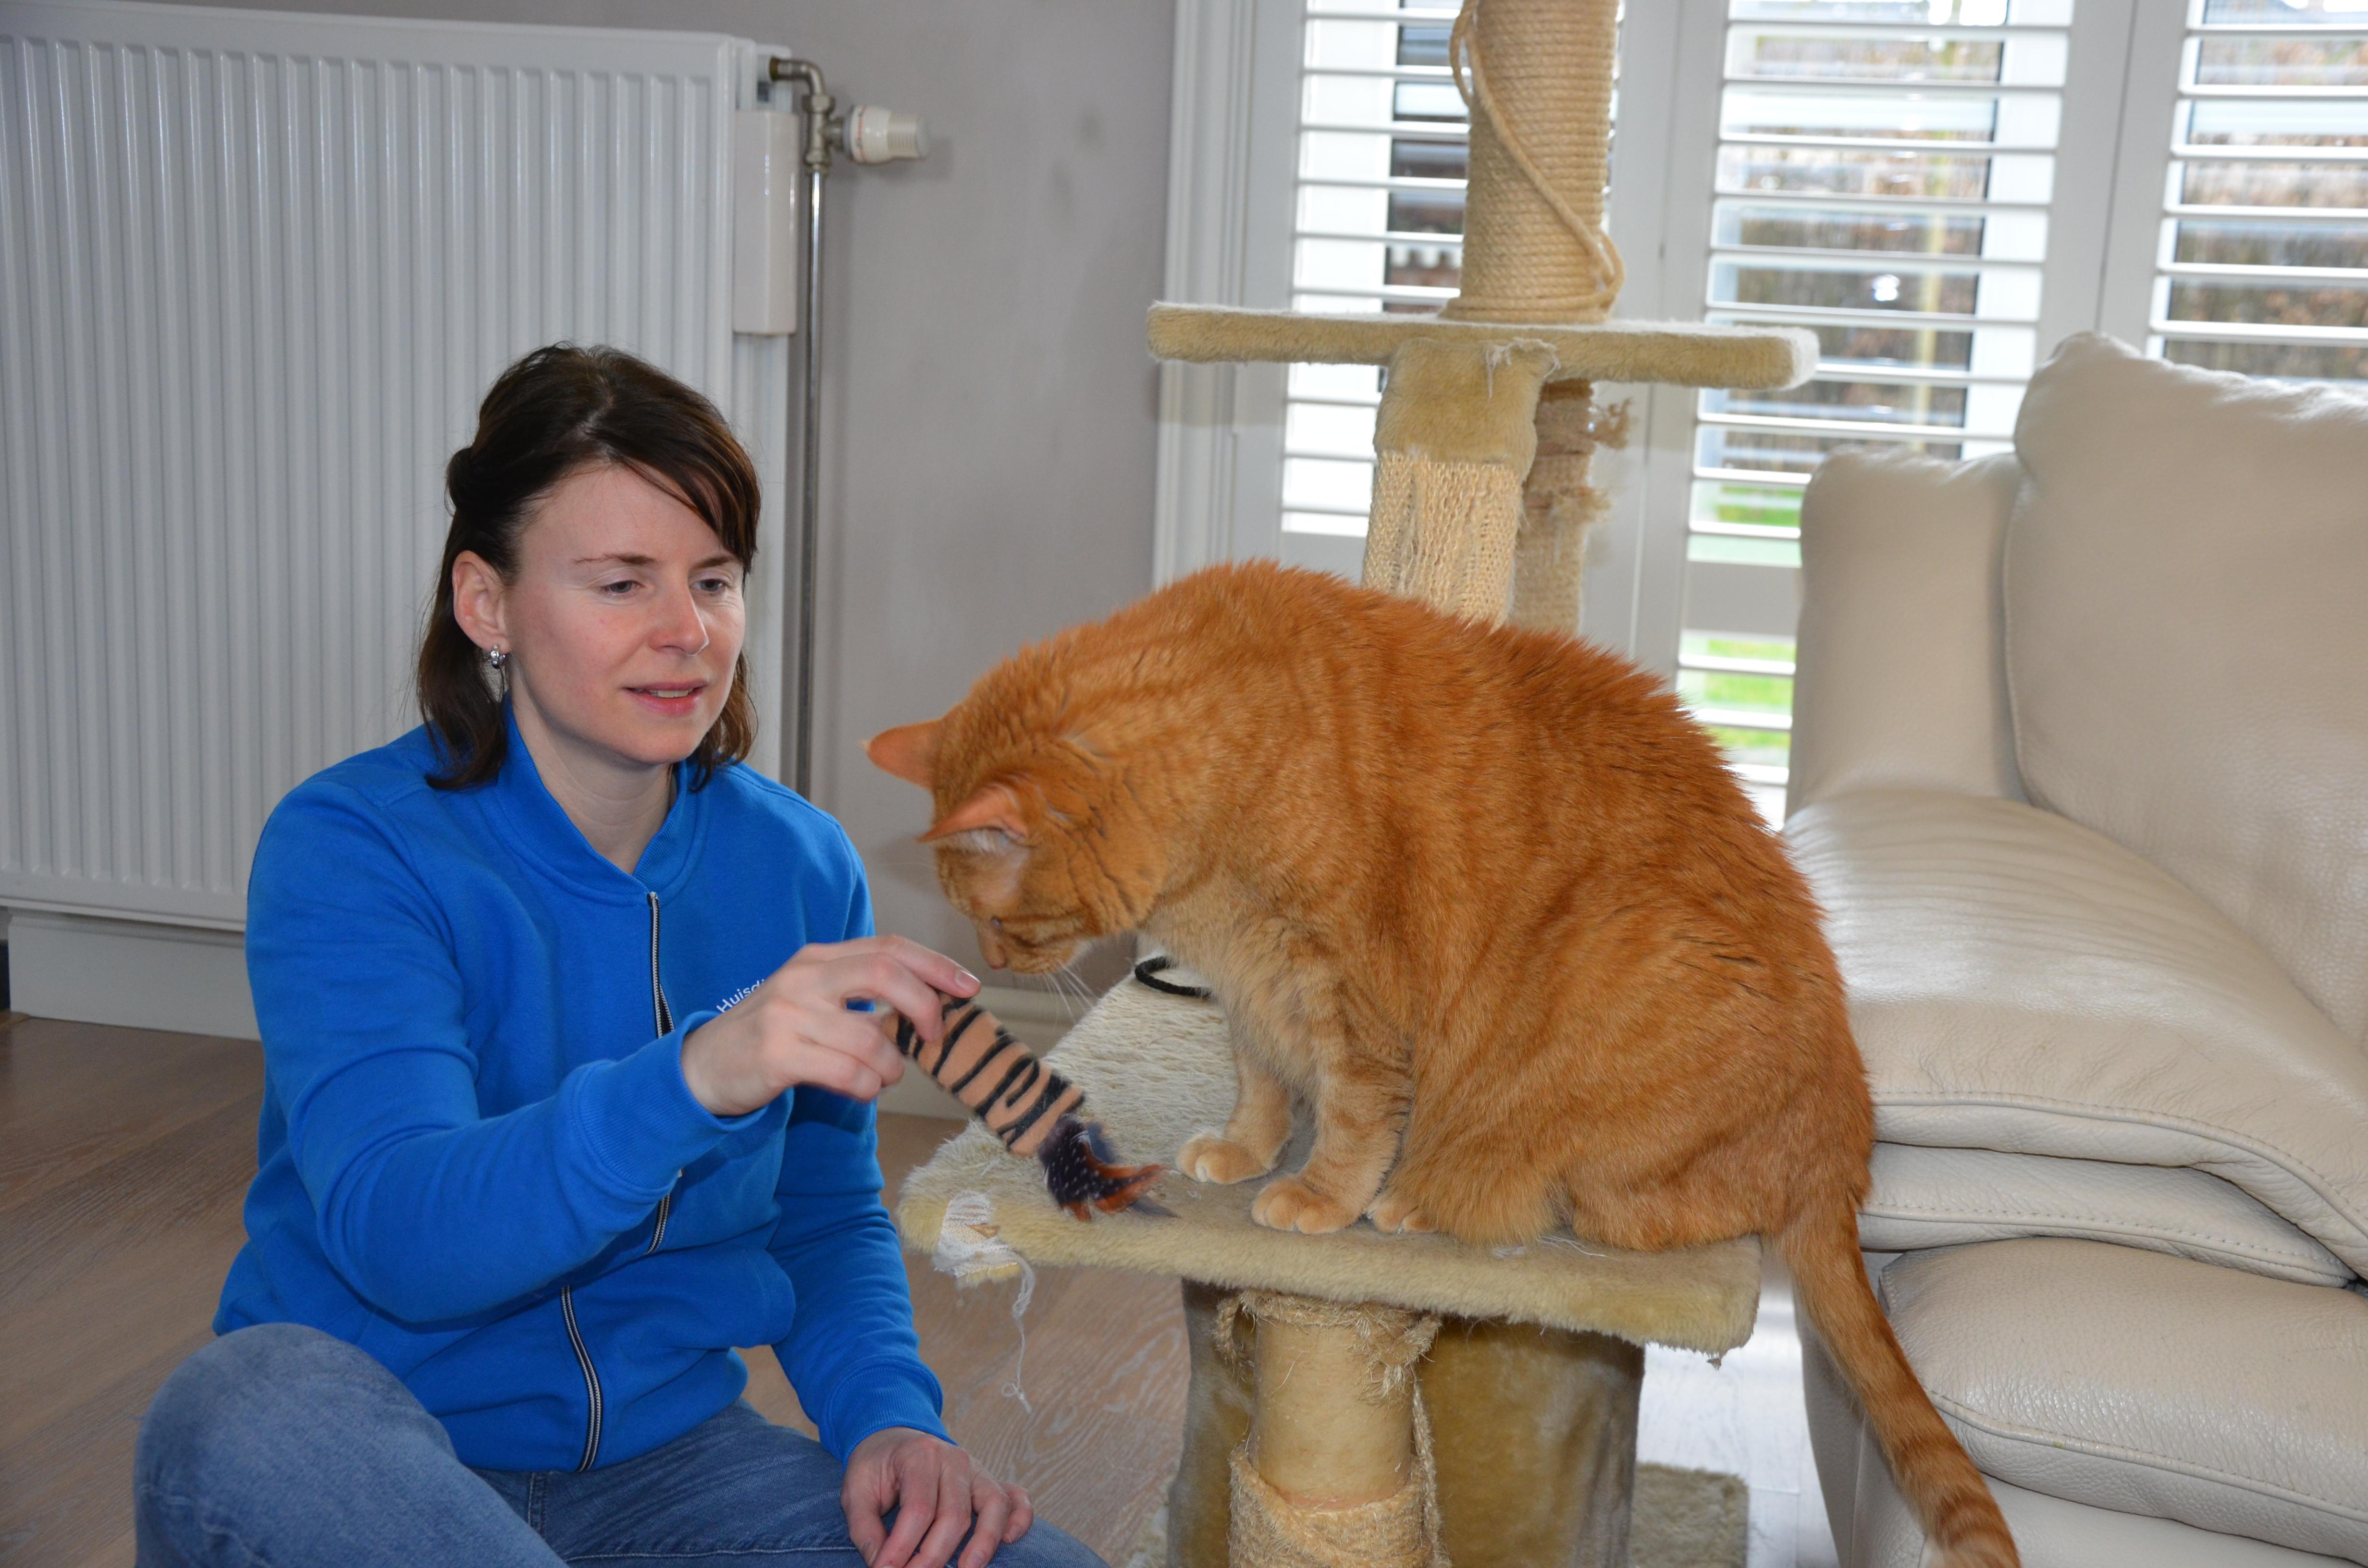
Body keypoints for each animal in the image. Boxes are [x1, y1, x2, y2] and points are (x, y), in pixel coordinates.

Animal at [867, 560, 2017, 1568]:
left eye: (995, 915)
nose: (987, 962)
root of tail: (1844, 1137)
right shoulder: (1252, 992)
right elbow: (1260, 1085)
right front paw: (1243, 1151)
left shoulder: (1349, 993)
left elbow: (1349, 1113)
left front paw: (1318, 1195)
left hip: (1600, 1095)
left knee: (1609, 1207)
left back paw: (1419, 1199)